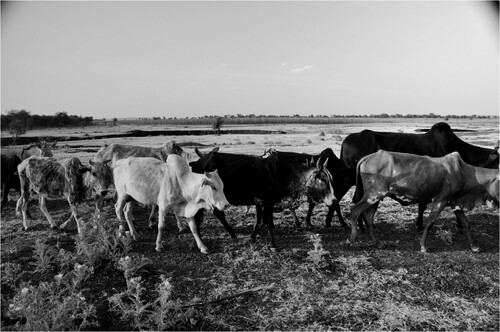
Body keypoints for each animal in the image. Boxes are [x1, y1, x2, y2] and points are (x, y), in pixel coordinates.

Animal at [189, 147, 338, 250]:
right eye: (323, 179)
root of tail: (197, 163)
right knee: (204, 216)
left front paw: (253, 236)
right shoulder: (268, 202)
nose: (334, 200)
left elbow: (262, 221)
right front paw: (273, 245)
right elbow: (269, 223)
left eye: (330, 179)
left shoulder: (265, 203)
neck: (285, 174)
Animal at [338, 122, 498, 231]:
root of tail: (348, 139)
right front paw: (420, 226)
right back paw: (361, 226)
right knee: (357, 200)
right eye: (498, 162)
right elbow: (424, 206)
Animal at [350, 152, 498, 253]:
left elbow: (466, 224)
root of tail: (368, 157)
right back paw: (352, 238)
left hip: (375, 197)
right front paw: (423, 246)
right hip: (373, 195)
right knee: (355, 211)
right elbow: (429, 223)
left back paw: (377, 243)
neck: (465, 173)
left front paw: (475, 246)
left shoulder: (455, 202)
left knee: (368, 217)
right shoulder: (440, 200)